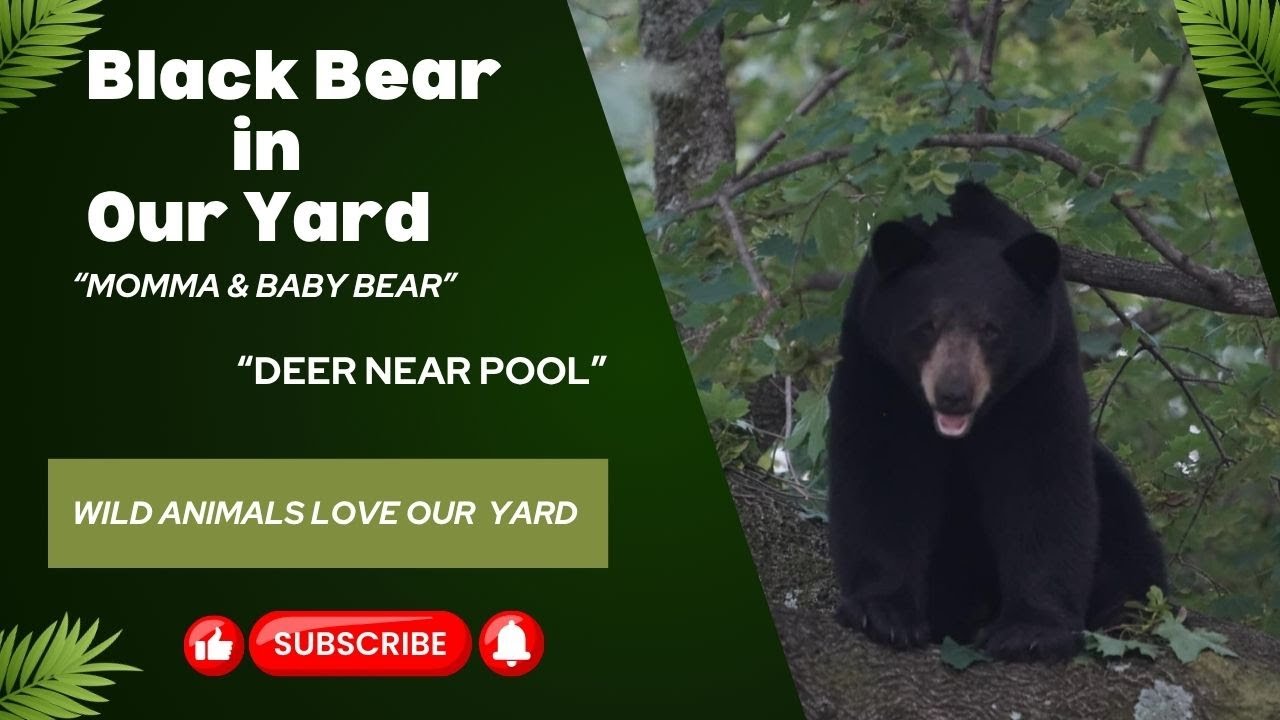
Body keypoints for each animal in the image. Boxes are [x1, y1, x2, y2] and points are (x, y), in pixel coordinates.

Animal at [826, 181, 1167, 661]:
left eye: (991, 329)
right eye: (927, 325)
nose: (953, 393)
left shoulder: (1039, 370)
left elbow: (1040, 477)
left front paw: (1032, 630)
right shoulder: (874, 361)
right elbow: (882, 466)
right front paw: (884, 613)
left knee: (1122, 514)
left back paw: (1124, 611)